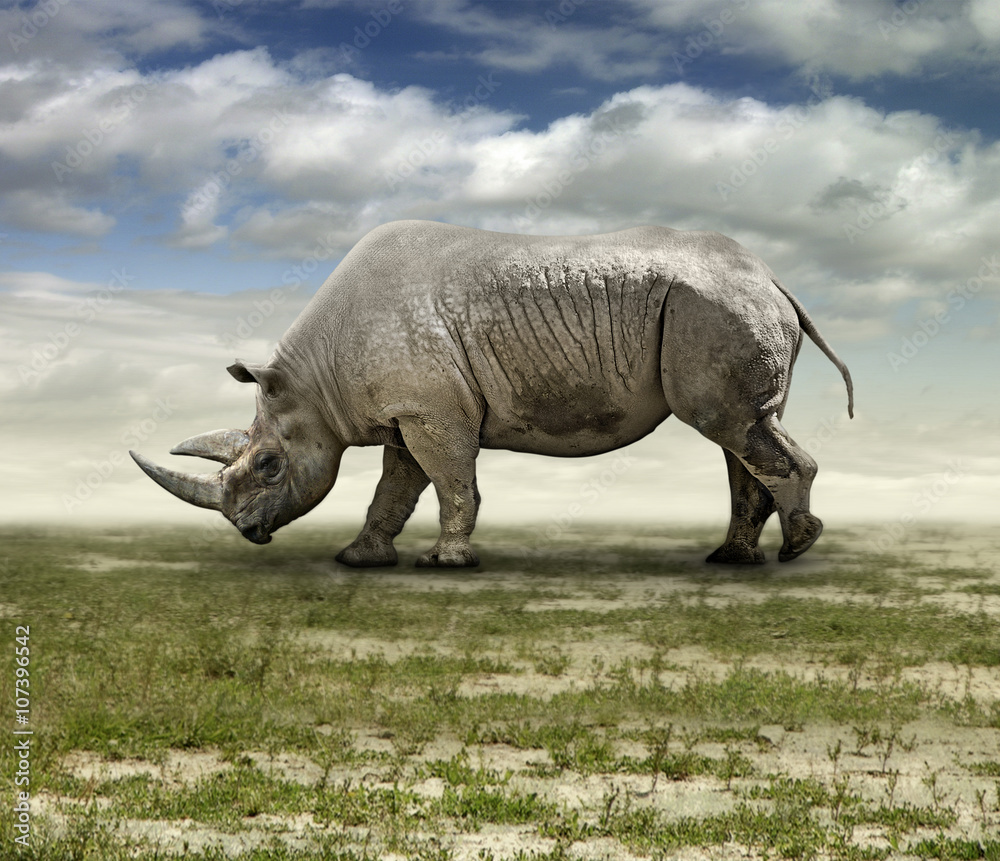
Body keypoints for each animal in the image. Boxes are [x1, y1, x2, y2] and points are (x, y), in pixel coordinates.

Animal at [131, 220, 853, 566]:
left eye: (269, 465)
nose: (247, 530)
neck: (315, 381)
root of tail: (771, 277)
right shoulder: (409, 412)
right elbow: (395, 488)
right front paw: (360, 558)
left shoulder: (433, 411)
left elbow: (451, 480)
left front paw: (446, 562)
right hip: (723, 307)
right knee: (739, 434)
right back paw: (732, 559)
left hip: (716, 308)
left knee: (732, 426)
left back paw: (795, 549)